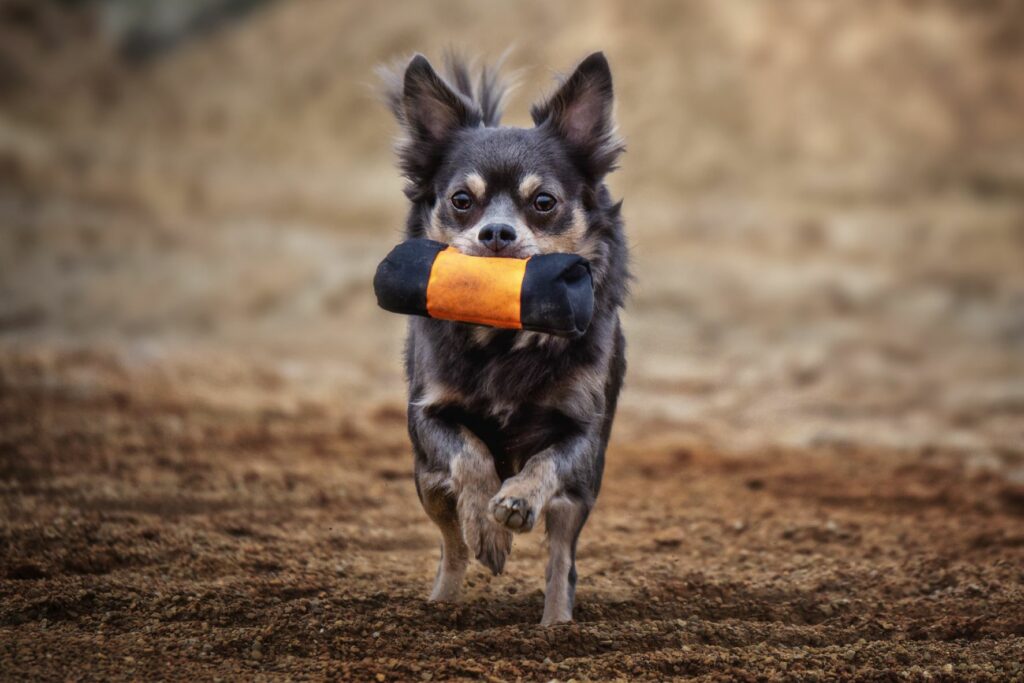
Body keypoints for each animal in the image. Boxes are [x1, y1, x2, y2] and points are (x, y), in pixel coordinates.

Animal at [382, 49, 626, 626]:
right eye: (461, 200)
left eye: (544, 202)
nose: (496, 232)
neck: (503, 339)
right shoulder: (427, 416)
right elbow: (471, 456)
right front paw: (489, 529)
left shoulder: (583, 435)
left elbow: (545, 463)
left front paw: (515, 502)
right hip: (425, 481)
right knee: (451, 544)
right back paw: (443, 600)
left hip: (580, 497)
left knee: (561, 561)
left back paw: (556, 626)